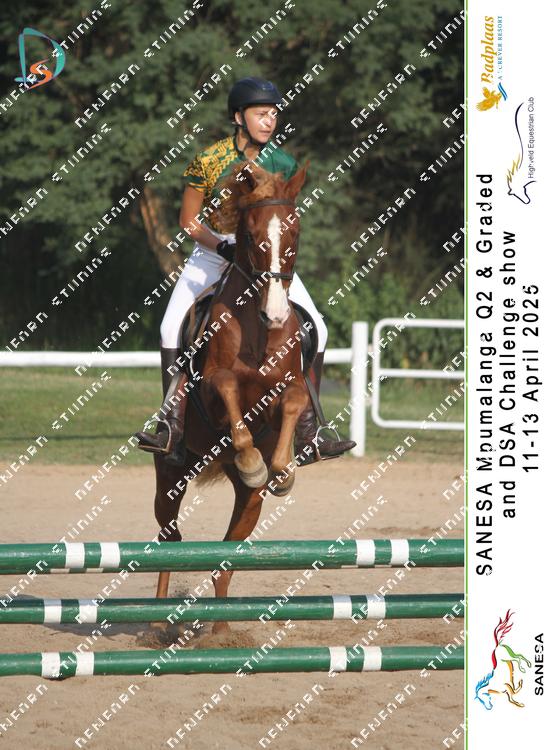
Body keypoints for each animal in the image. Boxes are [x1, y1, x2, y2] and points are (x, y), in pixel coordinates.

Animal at [150, 160, 313, 637]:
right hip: (170, 475)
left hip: (248, 503)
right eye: (252, 235)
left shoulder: (291, 385)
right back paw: (155, 621)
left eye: (294, 234)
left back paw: (221, 631)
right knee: (169, 540)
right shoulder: (212, 388)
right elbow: (226, 390)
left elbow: (293, 403)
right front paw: (252, 459)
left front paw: (279, 470)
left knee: (225, 554)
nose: (275, 314)